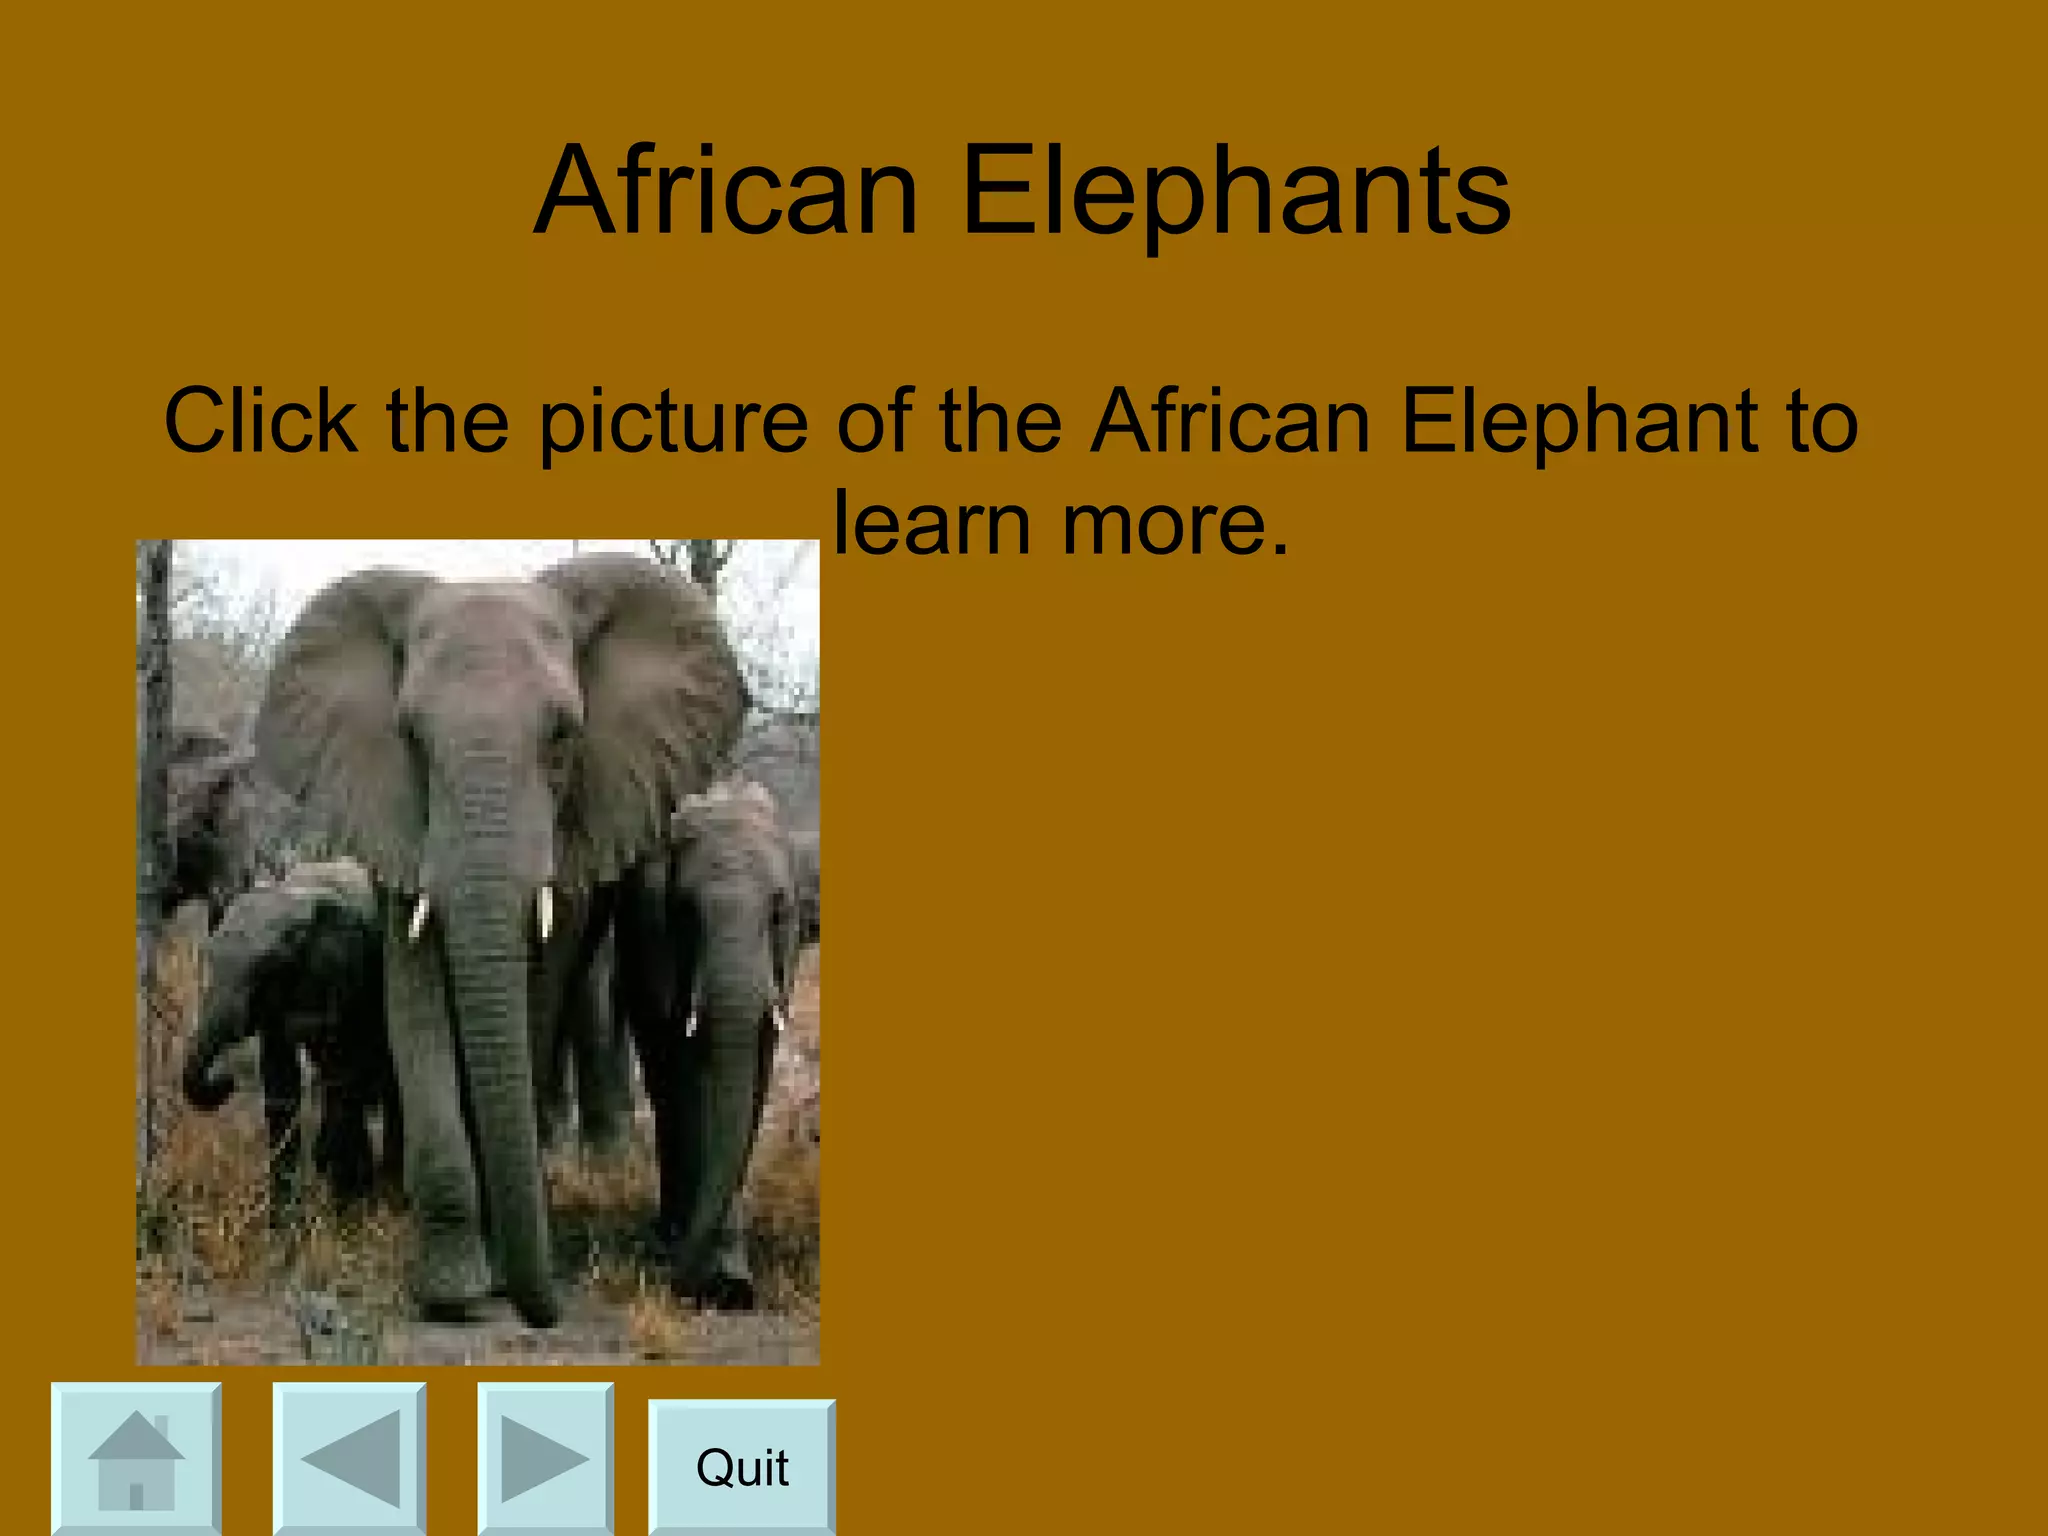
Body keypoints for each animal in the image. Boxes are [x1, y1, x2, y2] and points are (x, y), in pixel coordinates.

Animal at [181, 859, 401, 1214]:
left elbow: (344, 1073)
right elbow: (280, 1084)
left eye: (269, 968)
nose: (226, 1082)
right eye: (208, 957)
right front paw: (283, 1225)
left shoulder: (353, 974)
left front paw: (347, 1217)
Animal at [252, 554, 744, 1326]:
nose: (546, 1312)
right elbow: (415, 999)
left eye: (564, 736)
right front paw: (453, 1292)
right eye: (411, 738)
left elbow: (537, 992)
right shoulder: (395, 813)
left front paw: (495, 1271)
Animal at [614, 777, 801, 1307]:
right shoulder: (657, 939)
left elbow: (753, 1086)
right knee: (664, 1086)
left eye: (778, 912)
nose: (674, 1284)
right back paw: (668, 1236)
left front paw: (733, 1287)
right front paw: (722, 1287)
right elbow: (691, 1085)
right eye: (685, 912)